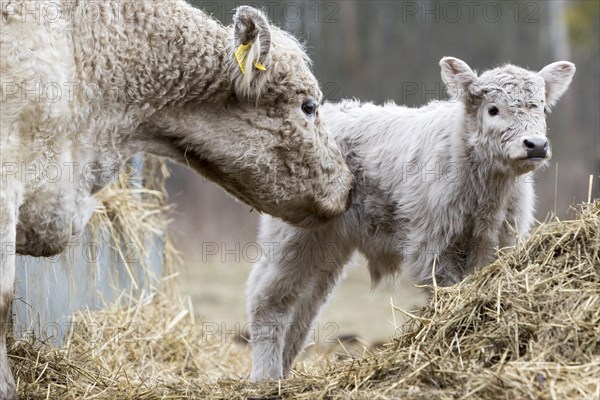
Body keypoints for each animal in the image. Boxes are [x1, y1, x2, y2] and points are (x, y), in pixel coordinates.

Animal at [248, 56, 576, 382]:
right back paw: (265, 378)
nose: (535, 145)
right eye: (493, 109)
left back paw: (283, 372)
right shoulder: (431, 247)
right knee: (267, 297)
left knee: (304, 307)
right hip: (292, 236)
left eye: (541, 107)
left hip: (327, 245)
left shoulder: (497, 243)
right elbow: (447, 293)